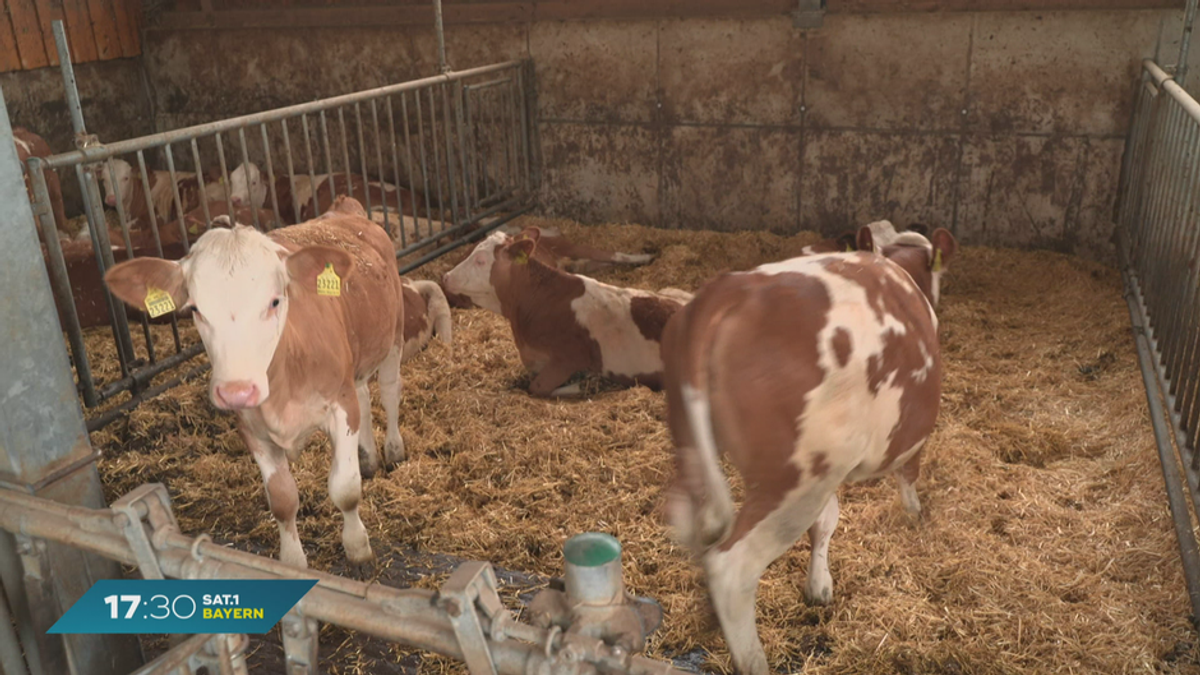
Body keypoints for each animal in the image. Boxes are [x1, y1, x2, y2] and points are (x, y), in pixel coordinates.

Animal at [103, 194, 403, 566]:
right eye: (195, 309)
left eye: (275, 300)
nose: (236, 391)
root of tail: (343, 207)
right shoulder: (251, 427)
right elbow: (283, 500)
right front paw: (292, 563)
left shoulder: (339, 404)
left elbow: (345, 488)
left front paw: (357, 547)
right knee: (363, 392)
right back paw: (368, 457)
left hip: (394, 332)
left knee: (390, 392)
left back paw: (394, 450)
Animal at [662, 223, 960, 667]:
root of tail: (730, 289)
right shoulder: (903, 438)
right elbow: (908, 477)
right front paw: (915, 515)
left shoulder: (834, 464)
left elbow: (827, 520)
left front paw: (819, 584)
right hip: (792, 483)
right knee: (732, 569)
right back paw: (754, 661)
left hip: (695, 449)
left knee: (686, 518)